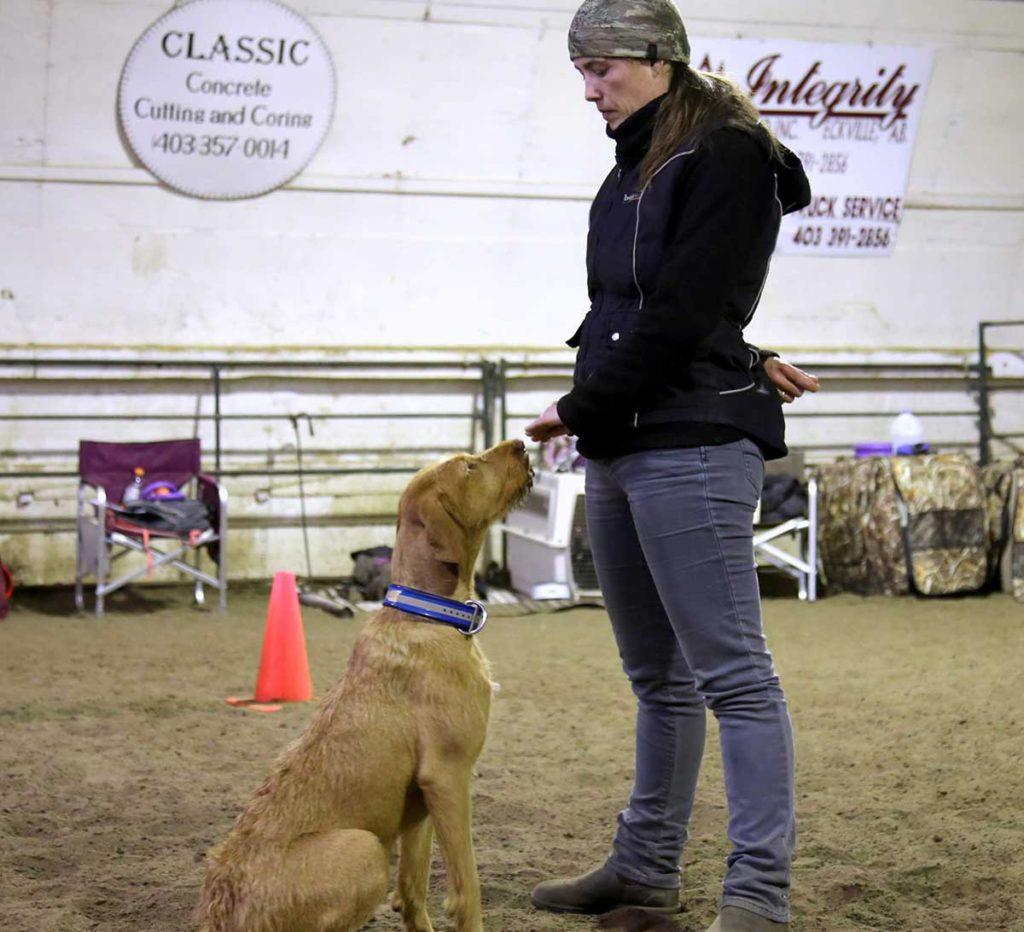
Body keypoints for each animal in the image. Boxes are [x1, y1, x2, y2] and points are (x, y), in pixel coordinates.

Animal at [197, 440, 536, 932]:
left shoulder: (422, 799)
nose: (523, 443)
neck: (430, 614)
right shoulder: (448, 775)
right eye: (470, 466)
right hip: (365, 849)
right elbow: (467, 890)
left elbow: (413, 891)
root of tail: (219, 910)